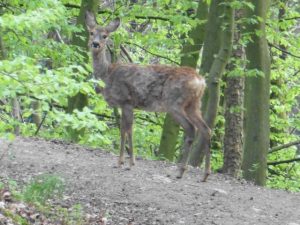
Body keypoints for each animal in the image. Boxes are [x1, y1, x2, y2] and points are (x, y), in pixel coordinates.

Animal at [84, 11, 211, 182]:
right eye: (91, 33)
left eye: (105, 35)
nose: (95, 44)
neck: (107, 75)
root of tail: (200, 81)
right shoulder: (125, 105)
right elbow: (124, 130)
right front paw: (123, 162)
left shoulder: (127, 100)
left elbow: (127, 130)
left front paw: (128, 163)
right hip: (194, 104)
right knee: (206, 129)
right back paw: (205, 175)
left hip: (174, 103)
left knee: (191, 129)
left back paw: (180, 172)